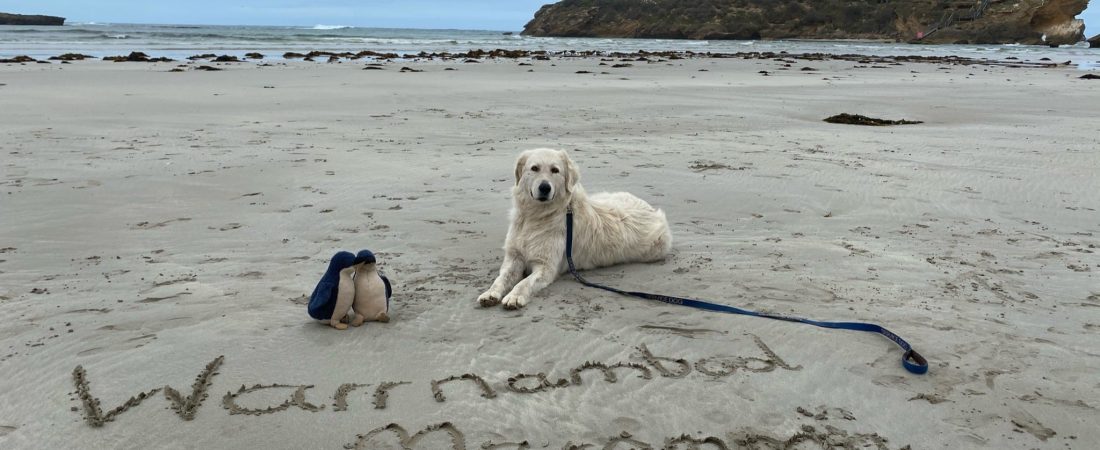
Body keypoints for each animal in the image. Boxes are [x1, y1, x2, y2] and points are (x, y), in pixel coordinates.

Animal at [479, 147, 673, 308]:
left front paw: (514, 296)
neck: (536, 216)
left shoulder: (546, 267)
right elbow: (501, 278)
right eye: (534, 168)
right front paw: (490, 293)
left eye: (555, 170)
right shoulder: (514, 258)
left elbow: (524, 282)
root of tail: (652, 209)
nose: (544, 187)